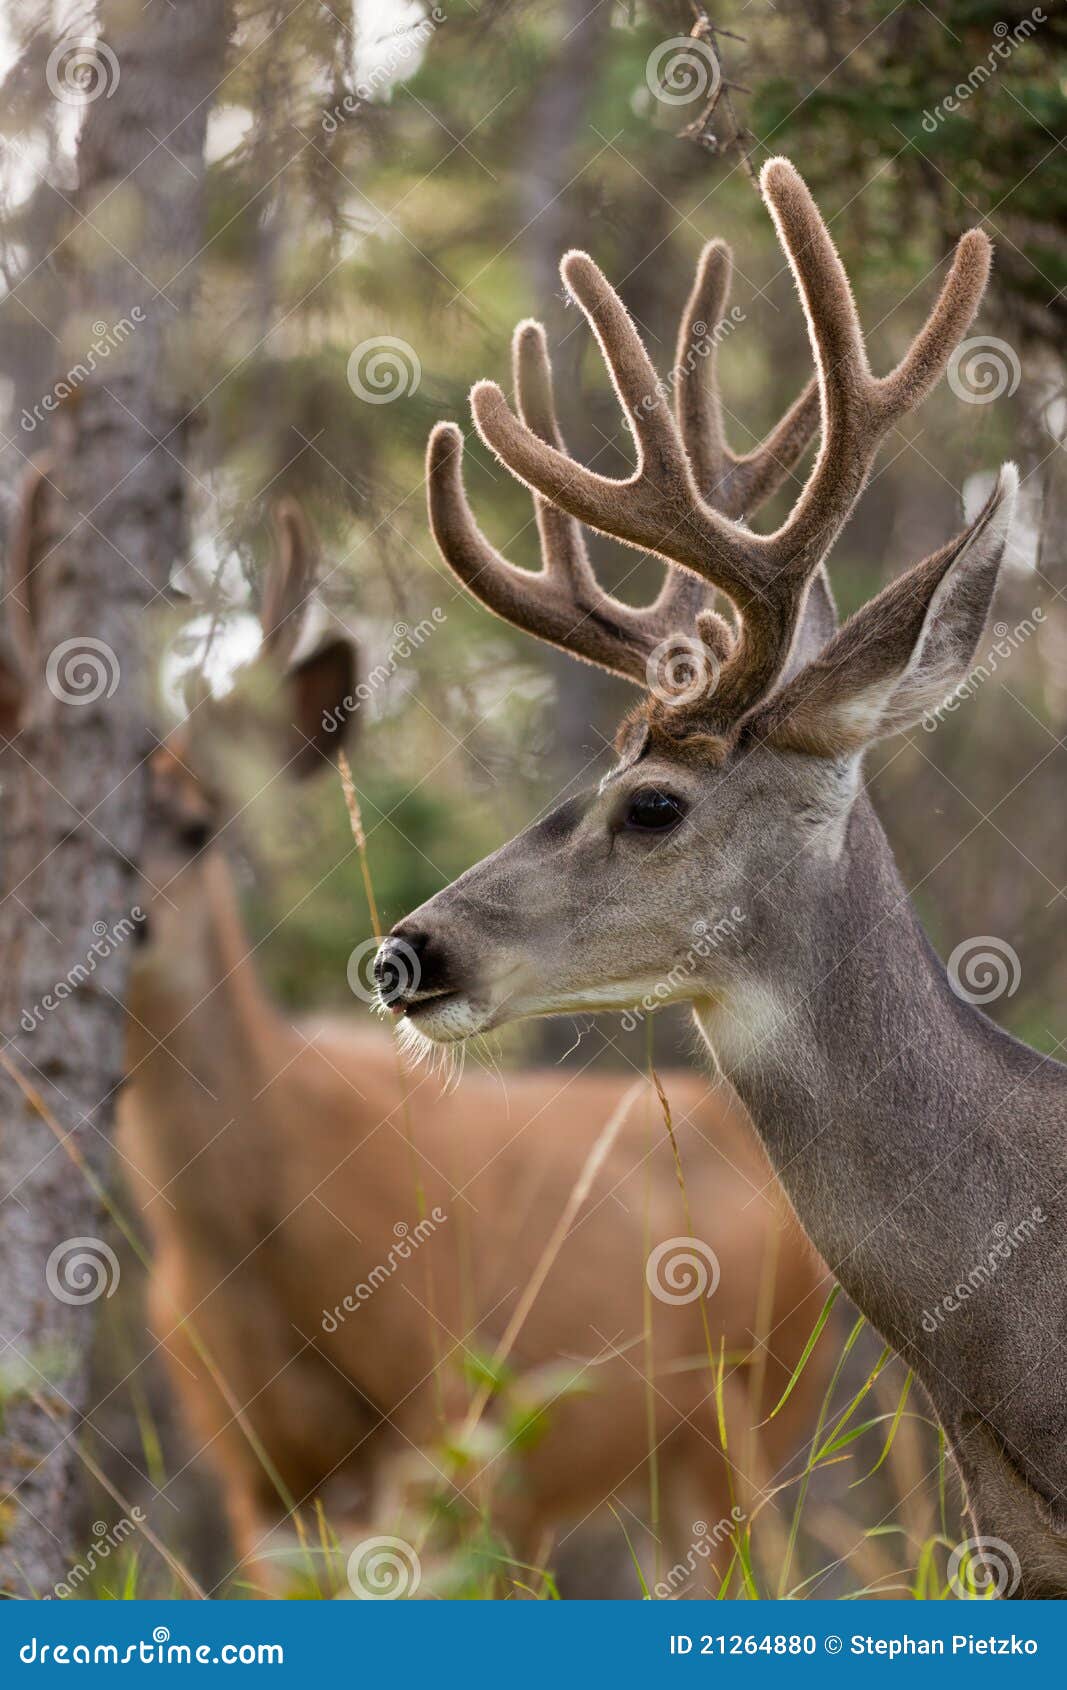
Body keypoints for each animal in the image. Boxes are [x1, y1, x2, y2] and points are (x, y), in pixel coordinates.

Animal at [0, 466, 831, 1595]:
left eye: (200, 827)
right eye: (33, 830)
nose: (127, 927)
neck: (259, 1224)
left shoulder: (440, 1399)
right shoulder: (251, 1468)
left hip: (756, 1406)